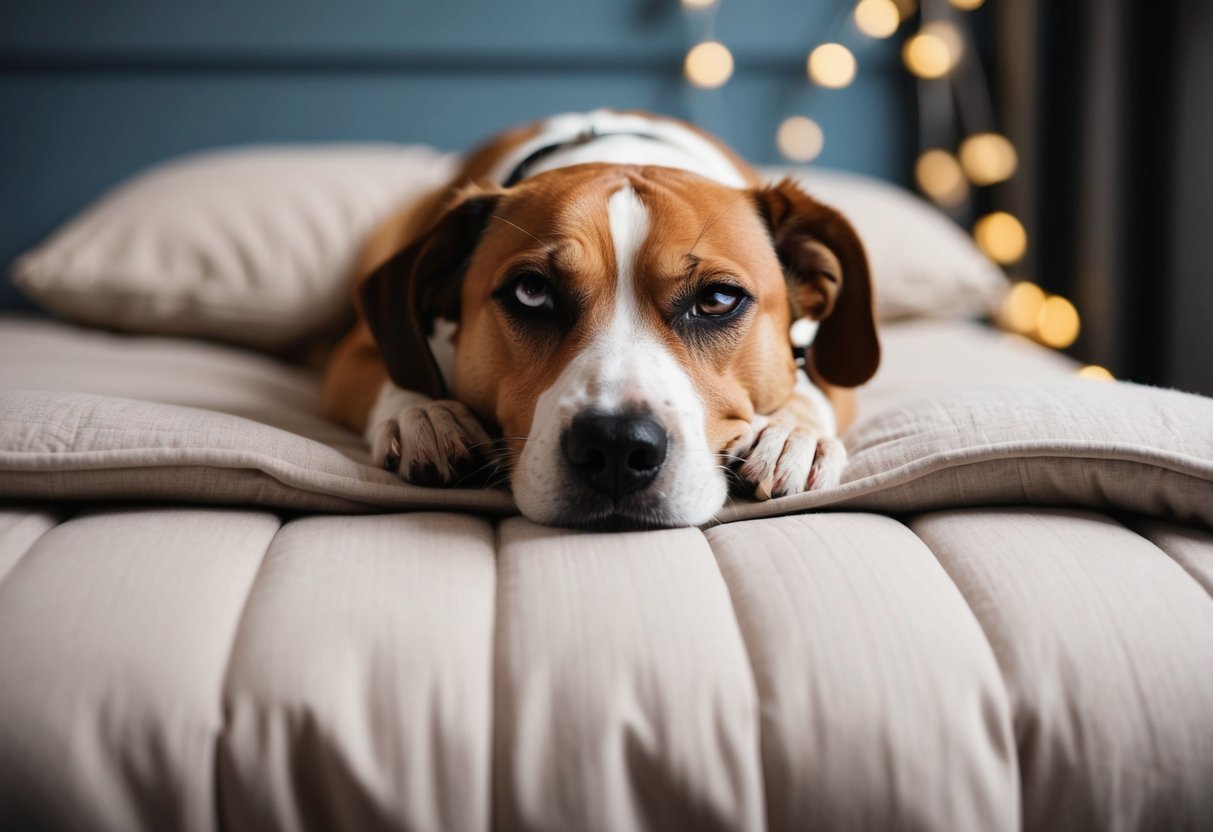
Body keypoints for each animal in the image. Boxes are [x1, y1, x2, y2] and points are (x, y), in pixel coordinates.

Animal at [320, 110, 883, 531]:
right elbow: (397, 373)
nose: (617, 444)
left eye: (718, 299)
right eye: (531, 292)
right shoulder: (354, 352)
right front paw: (426, 415)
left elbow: (811, 388)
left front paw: (789, 435)